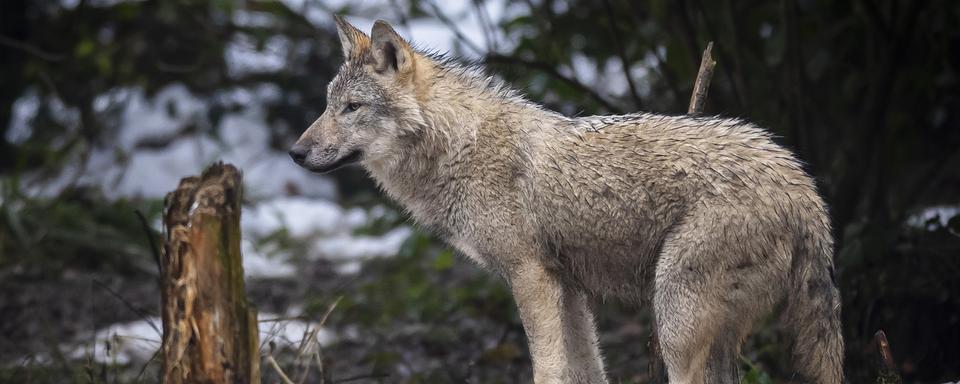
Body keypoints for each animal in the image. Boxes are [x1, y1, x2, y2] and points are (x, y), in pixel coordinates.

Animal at [288, 16, 844, 384]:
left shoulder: (530, 278)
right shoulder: (568, 288)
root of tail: (803, 187)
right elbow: (587, 370)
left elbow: (548, 369)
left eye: (352, 108)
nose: (295, 152)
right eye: (327, 106)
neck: (459, 147)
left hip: (675, 325)